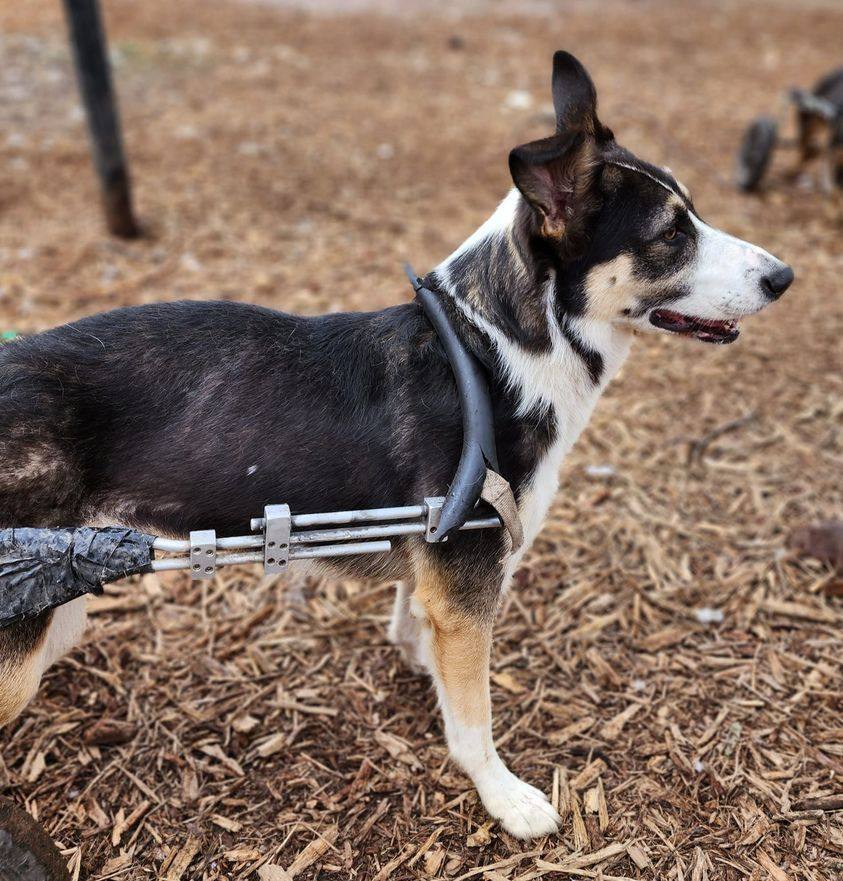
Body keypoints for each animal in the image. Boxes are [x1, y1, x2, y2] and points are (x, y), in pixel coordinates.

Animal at [0, 51, 792, 836]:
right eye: (670, 235)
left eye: (692, 213)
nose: (783, 277)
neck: (496, 350)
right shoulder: (466, 586)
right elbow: (473, 720)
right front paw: (503, 795)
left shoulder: (436, 574)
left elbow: (419, 634)